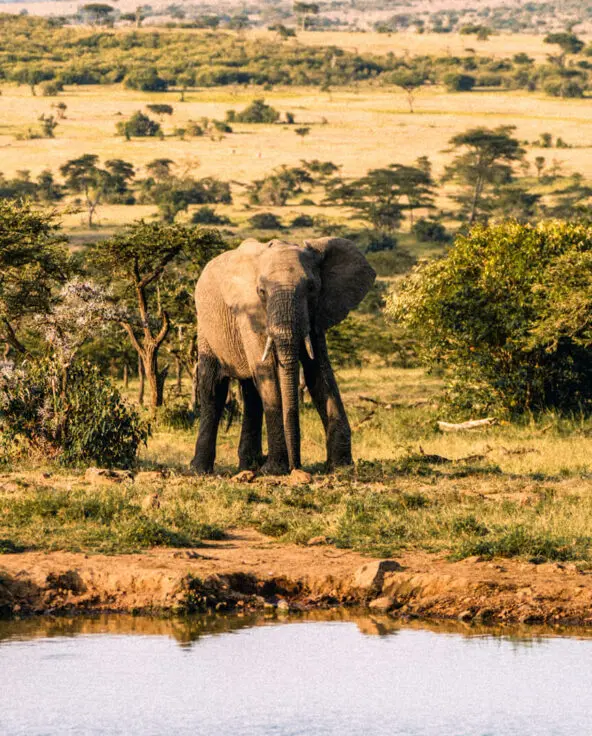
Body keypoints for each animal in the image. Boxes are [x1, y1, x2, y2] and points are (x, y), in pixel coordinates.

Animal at [190, 236, 376, 475]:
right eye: (261, 291)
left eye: (312, 288)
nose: (296, 466)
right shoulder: (248, 312)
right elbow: (267, 371)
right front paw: (275, 469)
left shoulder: (315, 314)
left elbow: (319, 373)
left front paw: (340, 466)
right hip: (205, 326)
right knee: (214, 387)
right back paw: (200, 470)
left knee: (250, 392)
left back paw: (249, 465)